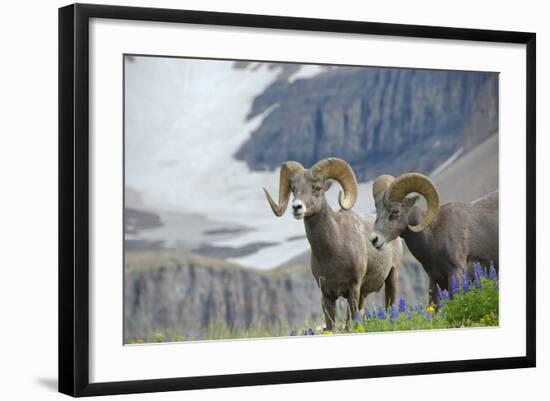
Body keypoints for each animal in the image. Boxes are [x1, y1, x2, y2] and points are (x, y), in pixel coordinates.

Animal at [266, 156, 404, 328]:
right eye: (293, 188)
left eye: (317, 188)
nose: (297, 207)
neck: (332, 252)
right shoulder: (326, 295)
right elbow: (330, 326)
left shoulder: (353, 289)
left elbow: (349, 325)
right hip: (364, 294)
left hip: (392, 277)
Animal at [370, 171, 500, 300]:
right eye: (378, 211)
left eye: (395, 211)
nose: (374, 239)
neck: (433, 238)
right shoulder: (435, 282)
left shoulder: (456, 274)